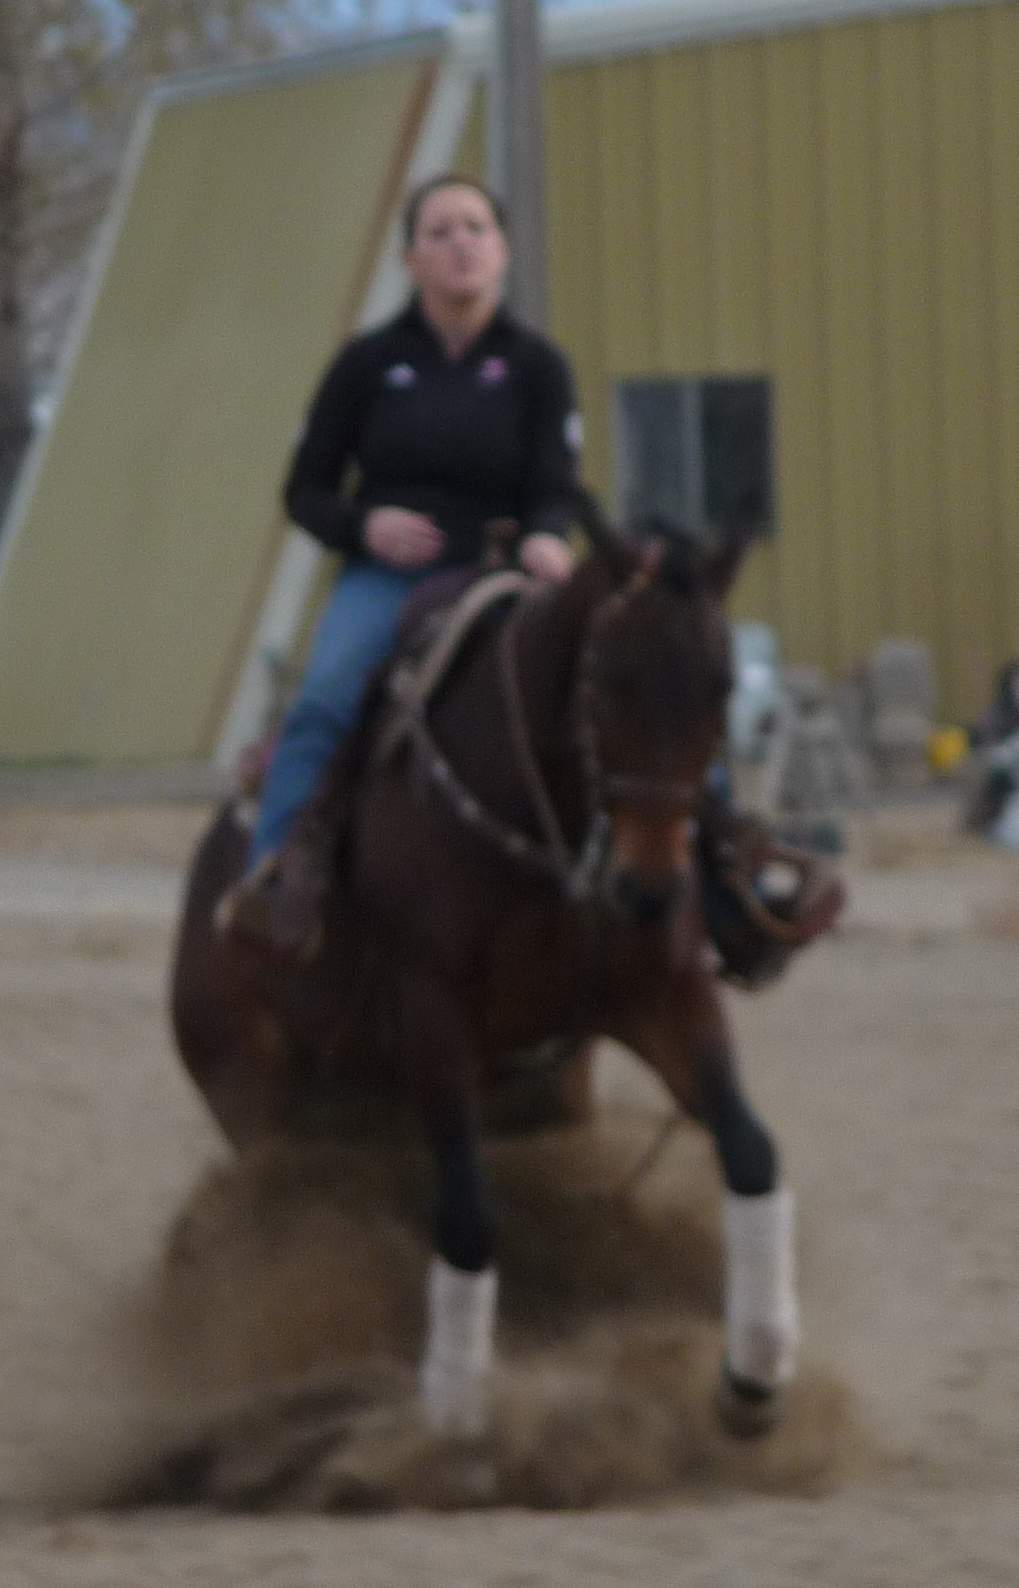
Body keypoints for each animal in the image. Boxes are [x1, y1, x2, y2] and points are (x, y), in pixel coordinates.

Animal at [171, 502, 803, 1442]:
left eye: (721, 690)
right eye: (605, 681)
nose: (648, 888)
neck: (554, 835)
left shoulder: (667, 995)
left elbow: (751, 1152)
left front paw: (753, 1375)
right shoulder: (433, 1021)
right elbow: (468, 1218)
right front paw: (457, 1414)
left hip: (536, 1092)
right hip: (255, 1096)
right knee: (276, 1213)